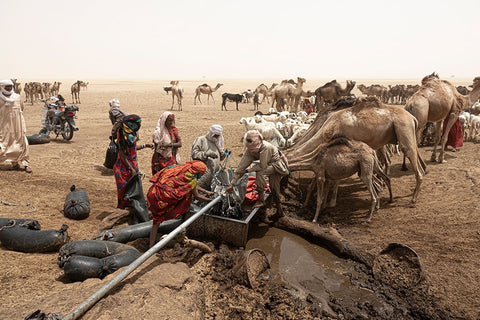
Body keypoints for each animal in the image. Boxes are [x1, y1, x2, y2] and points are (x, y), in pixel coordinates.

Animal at [284, 95, 426, 205]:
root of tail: (412, 118)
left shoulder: (341, 146)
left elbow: (336, 178)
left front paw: (330, 203)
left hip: (404, 127)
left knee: (411, 157)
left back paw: (413, 199)